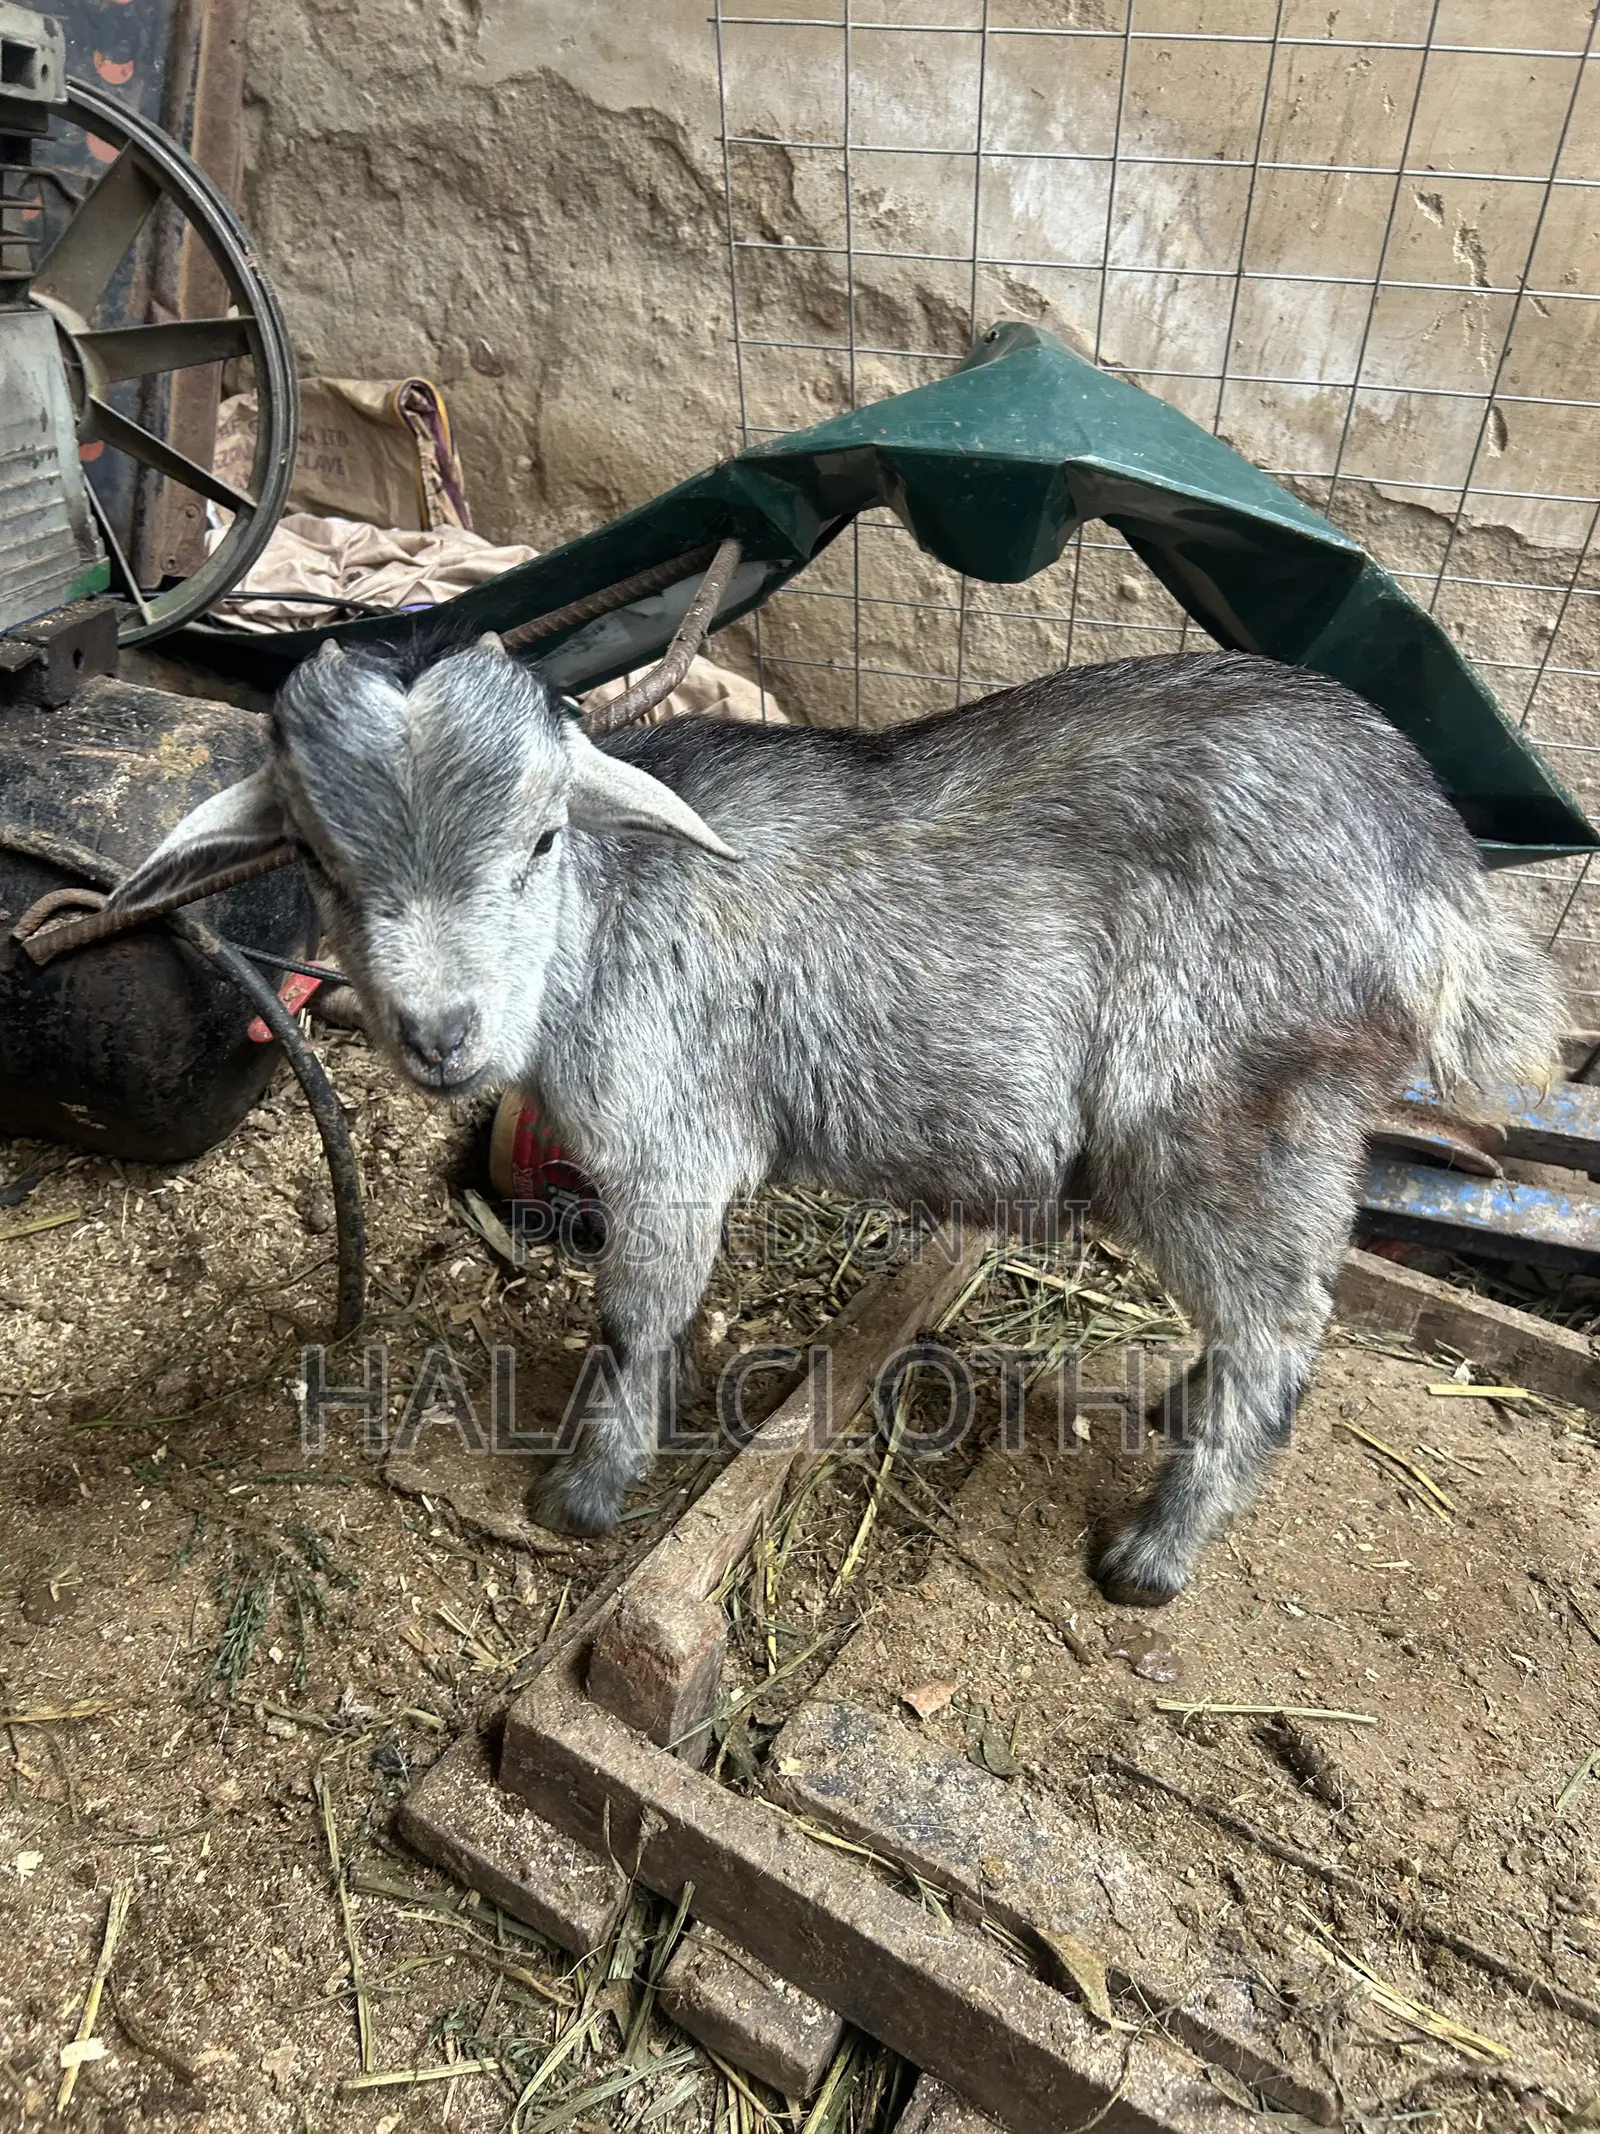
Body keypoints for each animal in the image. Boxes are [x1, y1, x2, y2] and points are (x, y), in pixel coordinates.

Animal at [112, 637, 1561, 1600]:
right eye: (315, 859)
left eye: (538, 842)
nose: (440, 1031)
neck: (604, 922)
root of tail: (1441, 883)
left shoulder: (671, 1137)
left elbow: (635, 1317)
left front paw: (585, 1489)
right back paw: (1180, 1409)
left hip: (1224, 1116)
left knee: (1279, 1327)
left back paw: (1155, 1552)